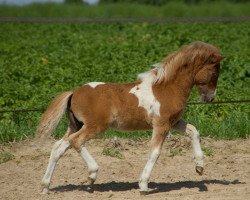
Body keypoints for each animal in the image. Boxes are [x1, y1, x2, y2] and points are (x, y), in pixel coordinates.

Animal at [36, 41, 223, 195]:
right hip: (94, 126)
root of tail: (74, 92)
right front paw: (143, 185)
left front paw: (199, 167)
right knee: (76, 141)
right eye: (214, 72)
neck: (167, 88)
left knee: (58, 147)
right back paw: (92, 175)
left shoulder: (174, 122)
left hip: (75, 125)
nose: (210, 98)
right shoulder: (161, 125)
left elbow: (193, 131)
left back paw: (45, 186)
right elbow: (155, 152)